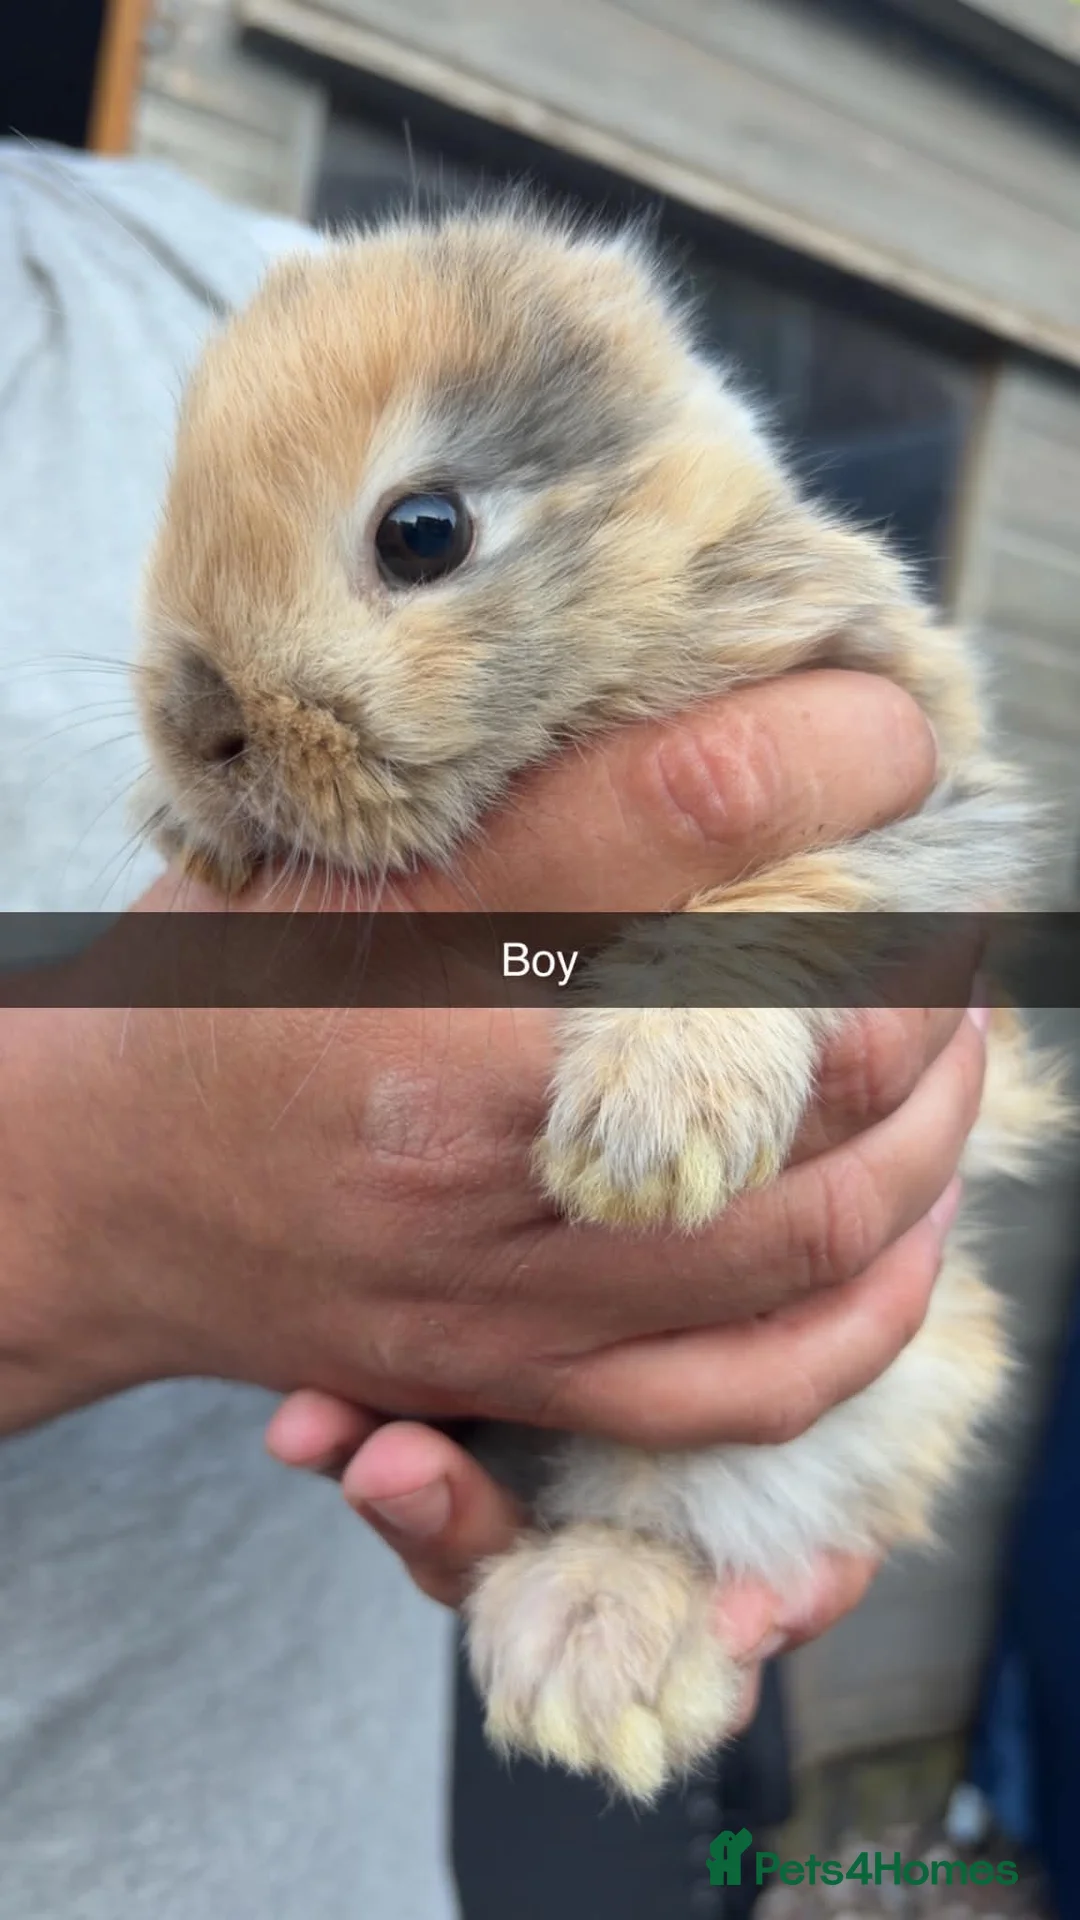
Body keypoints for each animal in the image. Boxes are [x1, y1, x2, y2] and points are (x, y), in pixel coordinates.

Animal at [133, 198, 1069, 1804]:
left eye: (424, 532)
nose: (202, 733)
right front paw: (185, 831)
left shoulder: (918, 800)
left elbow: (772, 912)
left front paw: (647, 1142)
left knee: (671, 1517)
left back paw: (586, 1654)